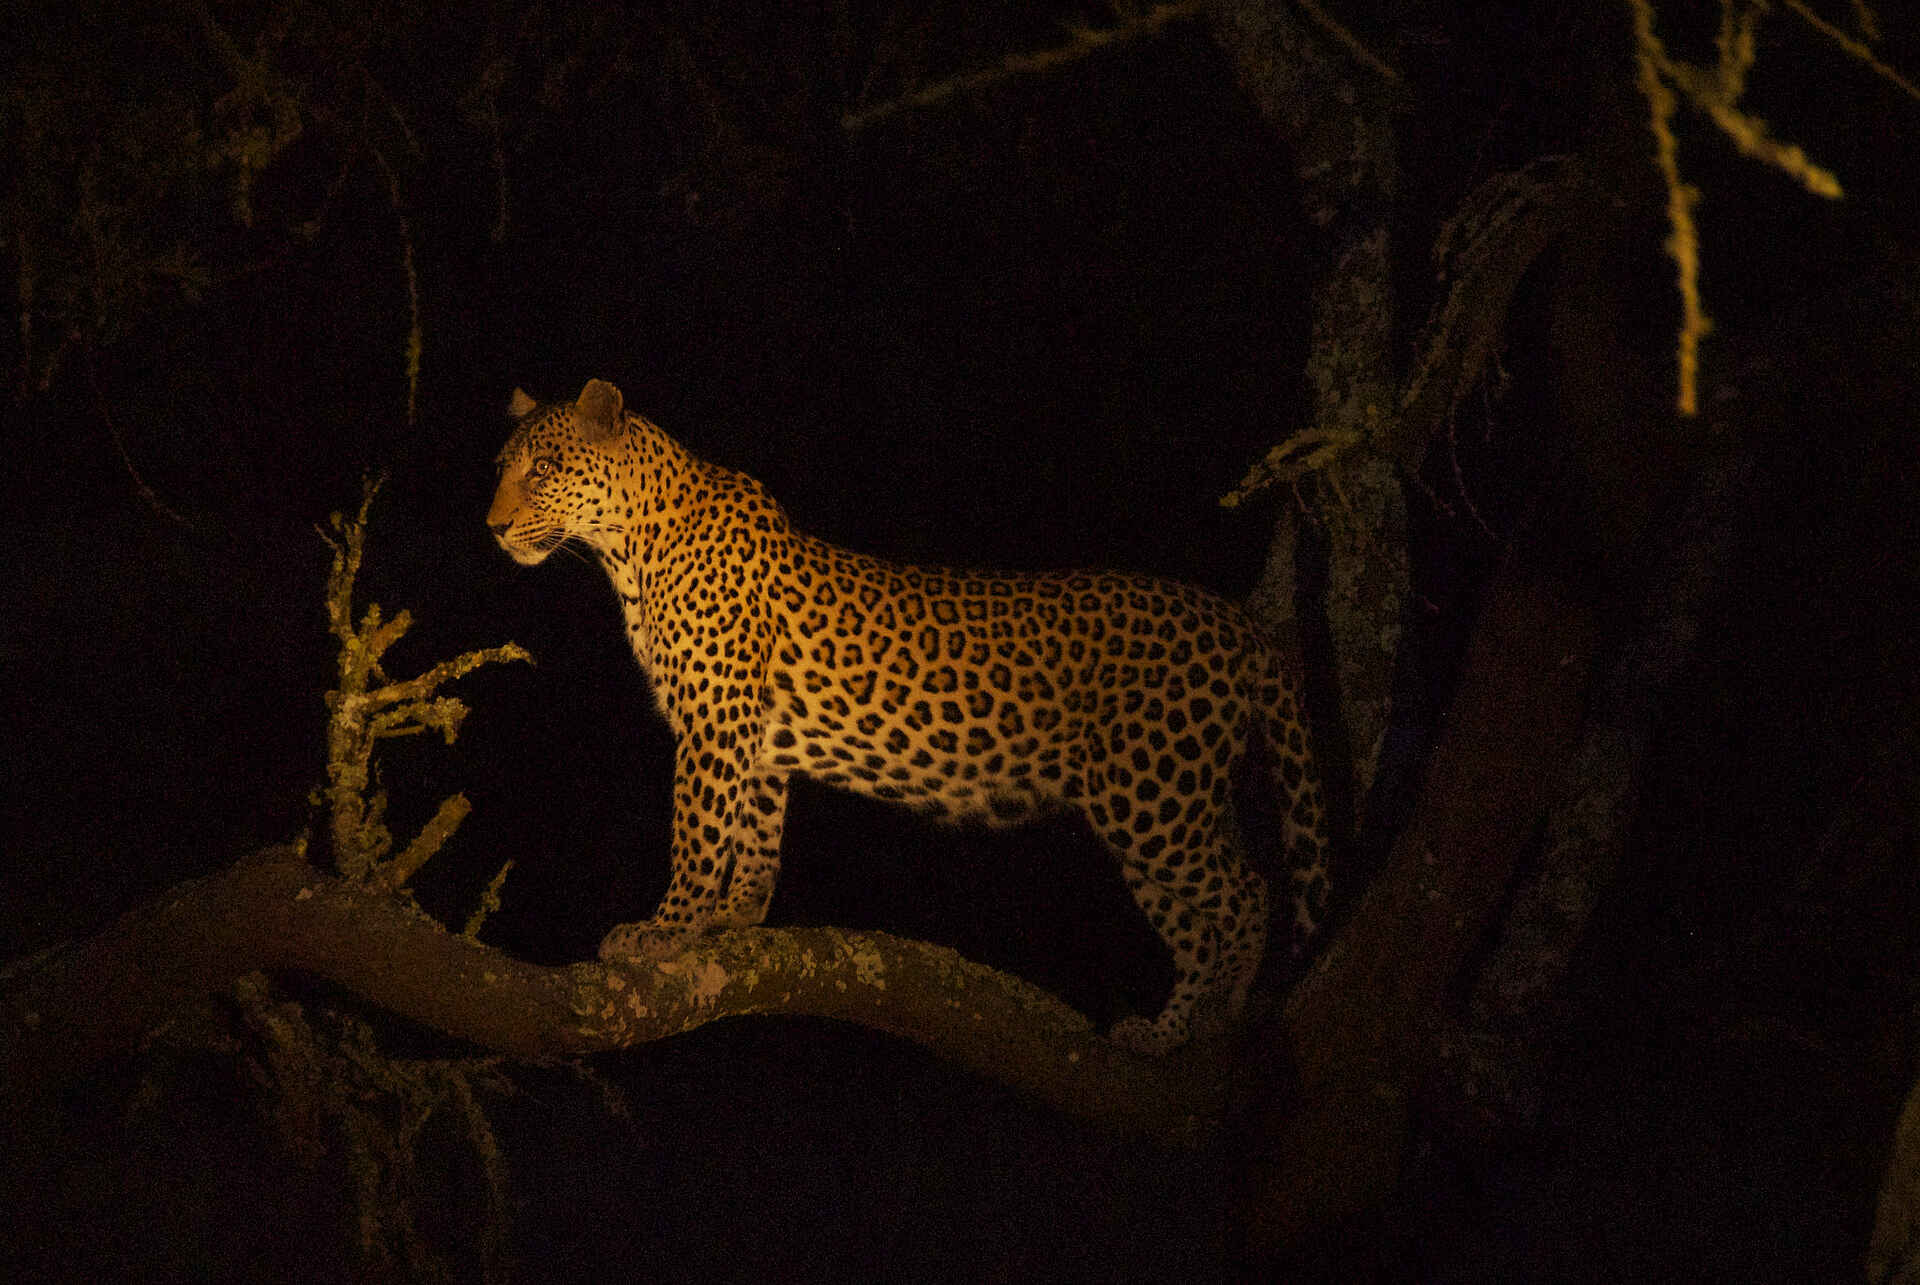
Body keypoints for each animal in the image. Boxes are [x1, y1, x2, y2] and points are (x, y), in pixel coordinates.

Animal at [487, 378, 1329, 1054]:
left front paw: (664, 929)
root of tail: (1237, 624)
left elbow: (697, 832)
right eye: (504, 467)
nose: (492, 525)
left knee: (1248, 895)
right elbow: (755, 834)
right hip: (1158, 811)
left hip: (1156, 801)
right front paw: (733, 919)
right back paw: (1163, 1034)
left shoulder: (715, 725)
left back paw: (1221, 1017)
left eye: (544, 468)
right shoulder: (754, 739)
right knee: (1200, 927)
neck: (627, 547)